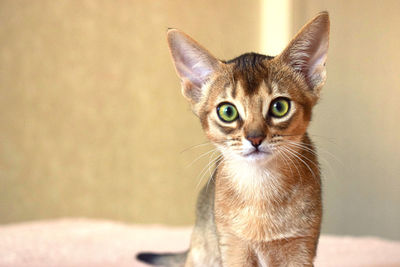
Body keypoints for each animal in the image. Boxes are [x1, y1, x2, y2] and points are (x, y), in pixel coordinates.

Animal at [139, 12, 330, 267]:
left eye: (279, 107)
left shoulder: (301, 248)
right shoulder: (233, 247)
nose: (255, 138)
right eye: (227, 111)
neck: (261, 190)